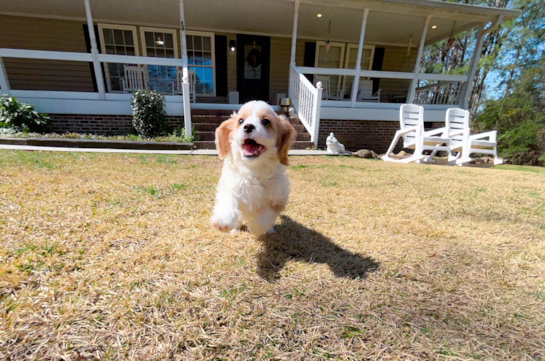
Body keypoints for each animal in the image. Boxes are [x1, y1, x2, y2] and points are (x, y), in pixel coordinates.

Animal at [210, 100, 296, 235]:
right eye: (240, 121)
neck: (253, 169)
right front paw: (222, 220)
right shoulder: (229, 186)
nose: (248, 126)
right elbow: (228, 200)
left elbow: (264, 219)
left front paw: (255, 229)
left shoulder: (278, 198)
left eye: (266, 122)